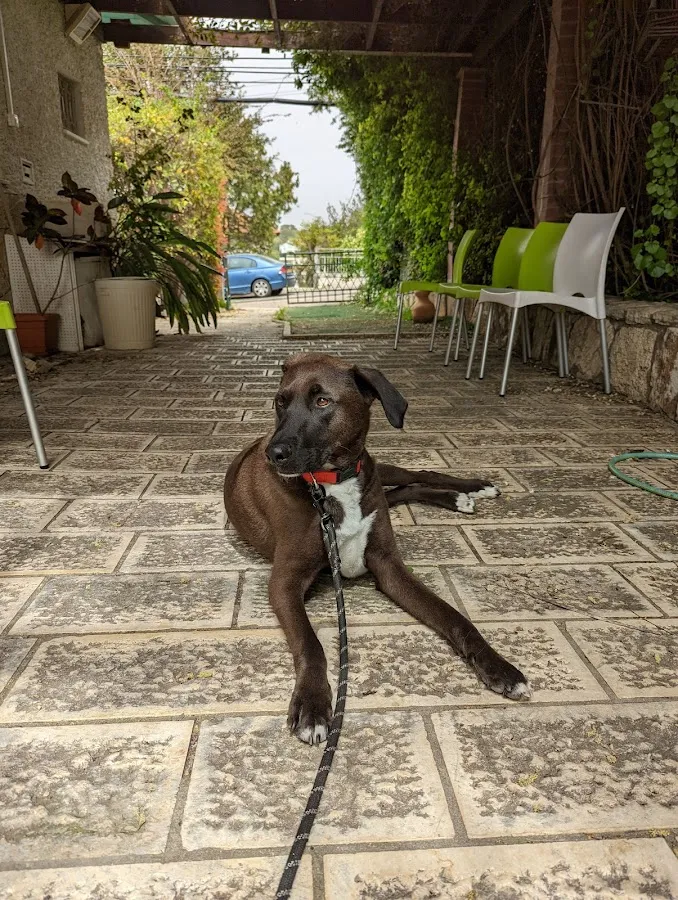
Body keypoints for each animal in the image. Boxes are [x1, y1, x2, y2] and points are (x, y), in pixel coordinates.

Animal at [224, 353, 530, 744]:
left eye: (322, 400)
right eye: (280, 401)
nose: (272, 454)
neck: (332, 483)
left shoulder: (389, 566)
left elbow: (454, 617)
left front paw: (500, 667)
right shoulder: (284, 583)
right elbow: (311, 644)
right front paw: (312, 704)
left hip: (379, 470)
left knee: (419, 474)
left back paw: (472, 488)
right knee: (404, 489)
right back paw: (458, 497)